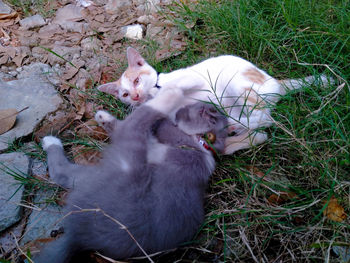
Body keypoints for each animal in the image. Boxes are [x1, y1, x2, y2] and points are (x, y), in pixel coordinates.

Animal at [34, 89, 227, 263]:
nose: (180, 110)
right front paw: (103, 117)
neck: (201, 144)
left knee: (61, 172)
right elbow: (121, 125)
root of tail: (78, 237)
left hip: (124, 162)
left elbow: (141, 118)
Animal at [97, 47, 332, 155]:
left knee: (265, 116)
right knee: (260, 130)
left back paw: (237, 125)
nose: (135, 96)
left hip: (238, 85)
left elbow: (174, 87)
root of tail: (275, 81)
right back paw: (233, 130)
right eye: (124, 94)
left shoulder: (192, 78)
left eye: (137, 80)